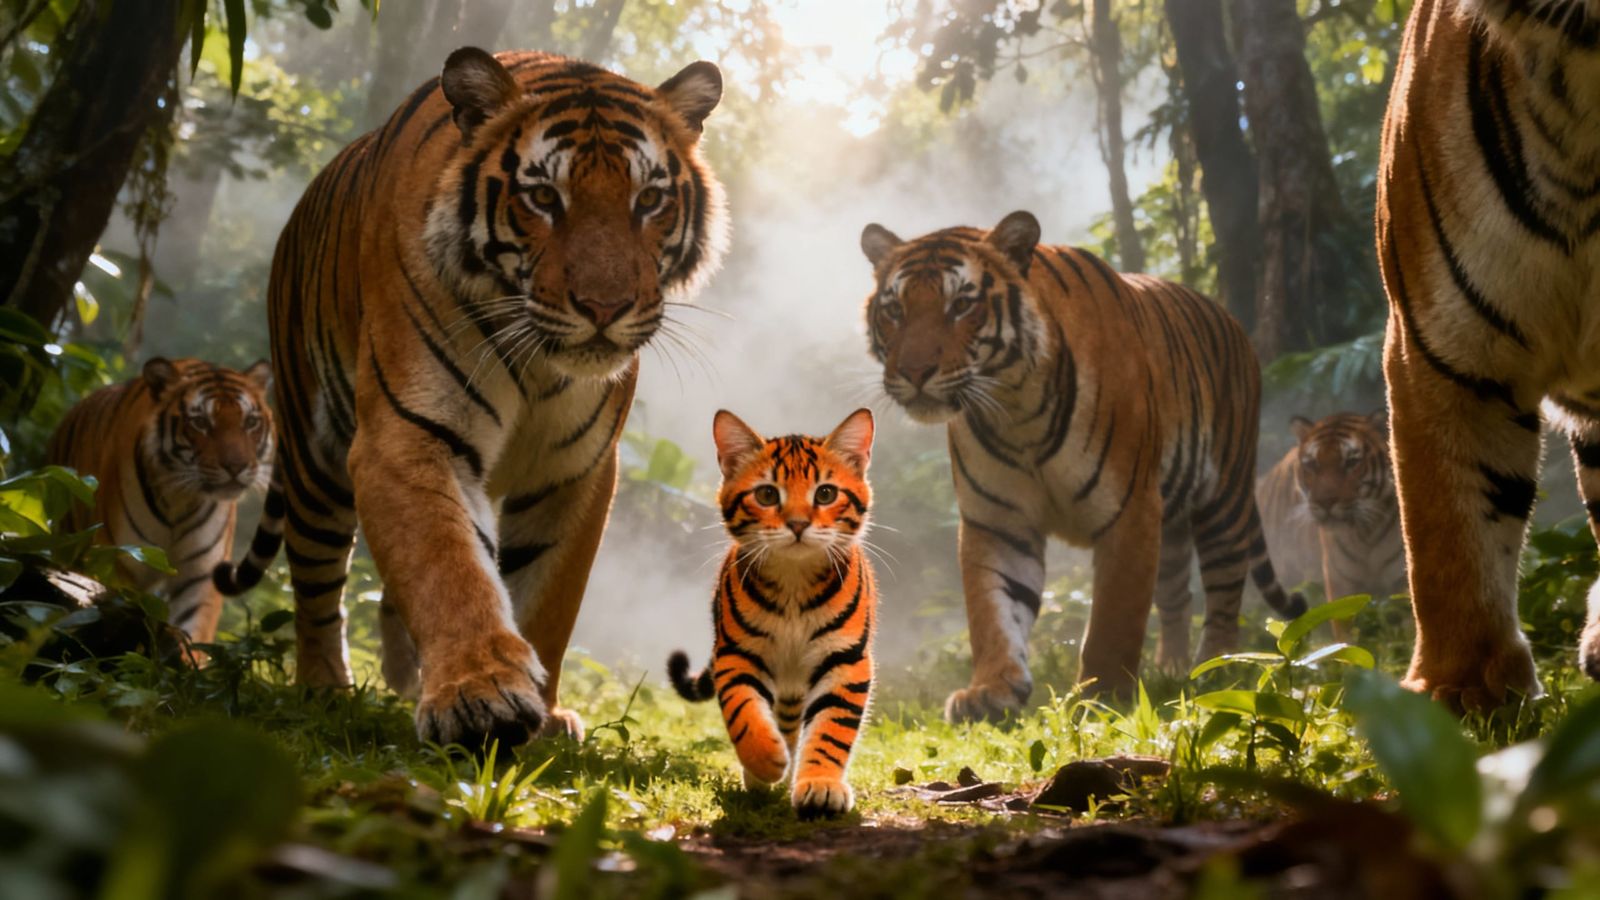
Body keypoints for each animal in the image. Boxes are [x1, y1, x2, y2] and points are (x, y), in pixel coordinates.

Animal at [45, 357, 274, 643]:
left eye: (250, 422)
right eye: (200, 422)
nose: (237, 466)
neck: (181, 499)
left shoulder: (200, 576)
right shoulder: (119, 559)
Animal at [215, 47, 728, 745]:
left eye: (648, 199)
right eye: (543, 197)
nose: (605, 308)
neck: (542, 365)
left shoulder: (579, 469)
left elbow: (545, 598)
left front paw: (543, 714)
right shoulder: (409, 435)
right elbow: (447, 565)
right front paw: (479, 694)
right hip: (313, 460)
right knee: (318, 584)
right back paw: (325, 689)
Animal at [667, 408, 877, 818]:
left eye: (825, 493)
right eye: (767, 494)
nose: (797, 524)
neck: (794, 579)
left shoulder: (846, 659)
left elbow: (832, 729)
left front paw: (821, 785)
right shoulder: (737, 653)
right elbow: (744, 711)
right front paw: (765, 762)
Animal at [858, 211, 1306, 721]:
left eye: (961, 305)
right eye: (895, 310)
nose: (914, 372)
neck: (1015, 409)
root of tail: (1231, 320)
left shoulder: (1130, 513)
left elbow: (1114, 617)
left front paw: (1102, 696)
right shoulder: (997, 521)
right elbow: (992, 610)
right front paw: (991, 690)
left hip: (1224, 500)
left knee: (1224, 592)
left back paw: (1216, 671)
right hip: (1172, 522)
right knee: (1178, 594)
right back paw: (1173, 671)